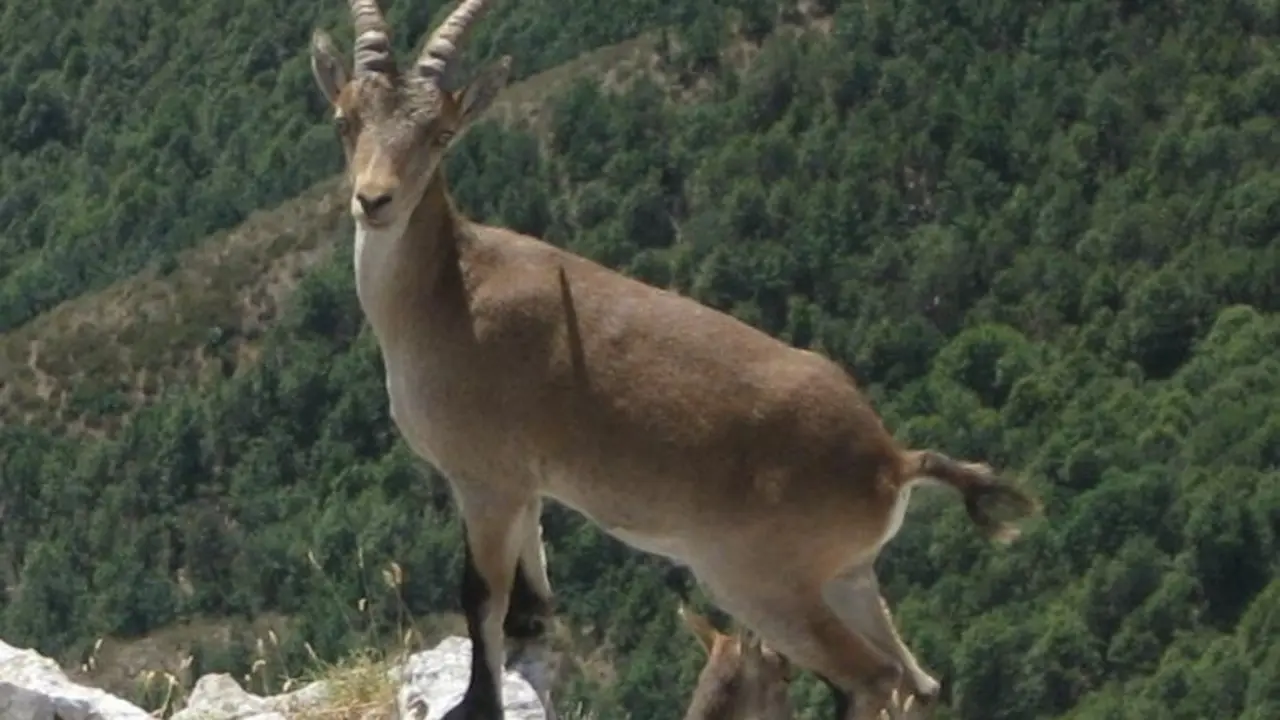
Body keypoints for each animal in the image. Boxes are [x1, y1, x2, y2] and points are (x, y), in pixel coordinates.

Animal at [308, 2, 1041, 718]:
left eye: (441, 134)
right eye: (345, 119)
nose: (374, 200)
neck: (450, 293)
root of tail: (890, 462)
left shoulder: (486, 478)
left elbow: (479, 594)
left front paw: (478, 700)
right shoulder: (525, 482)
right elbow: (532, 567)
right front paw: (530, 627)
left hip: (761, 580)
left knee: (871, 678)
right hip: (849, 577)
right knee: (918, 681)